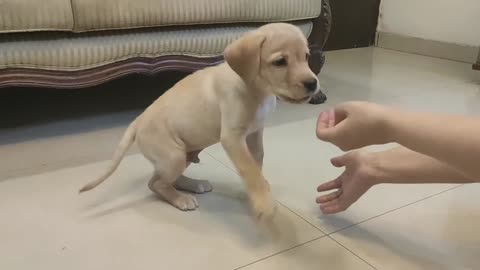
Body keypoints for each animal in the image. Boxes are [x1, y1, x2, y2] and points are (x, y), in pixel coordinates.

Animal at [79, 23, 318, 219]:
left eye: (306, 57)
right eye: (280, 62)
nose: (313, 83)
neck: (257, 90)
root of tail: (137, 122)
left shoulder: (254, 133)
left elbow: (257, 161)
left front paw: (256, 191)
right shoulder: (232, 137)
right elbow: (248, 166)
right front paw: (263, 201)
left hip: (182, 154)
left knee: (165, 178)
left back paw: (193, 185)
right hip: (173, 155)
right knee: (155, 183)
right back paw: (181, 199)